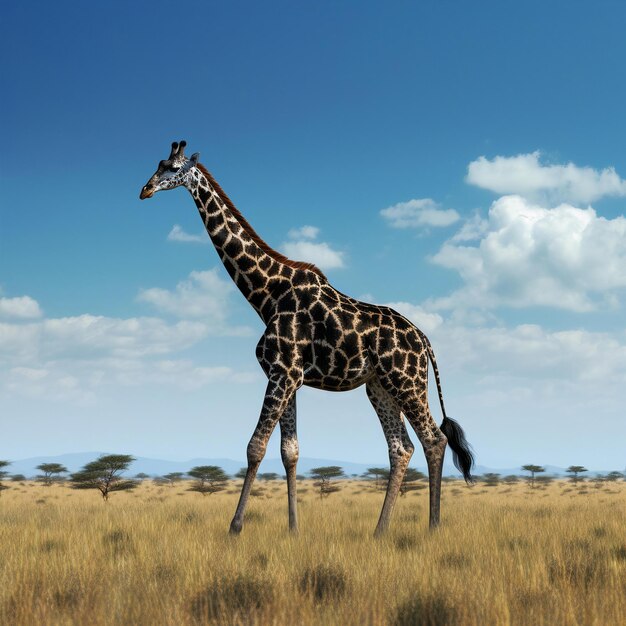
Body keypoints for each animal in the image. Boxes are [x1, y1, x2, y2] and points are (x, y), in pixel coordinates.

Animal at [140, 140, 472, 532]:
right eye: (158, 164)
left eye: (173, 169)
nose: (145, 190)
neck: (267, 295)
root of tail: (425, 341)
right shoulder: (287, 376)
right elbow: (290, 451)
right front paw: (293, 529)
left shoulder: (282, 373)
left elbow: (255, 446)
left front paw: (235, 528)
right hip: (379, 386)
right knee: (401, 448)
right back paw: (380, 531)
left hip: (407, 382)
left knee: (434, 440)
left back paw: (433, 528)